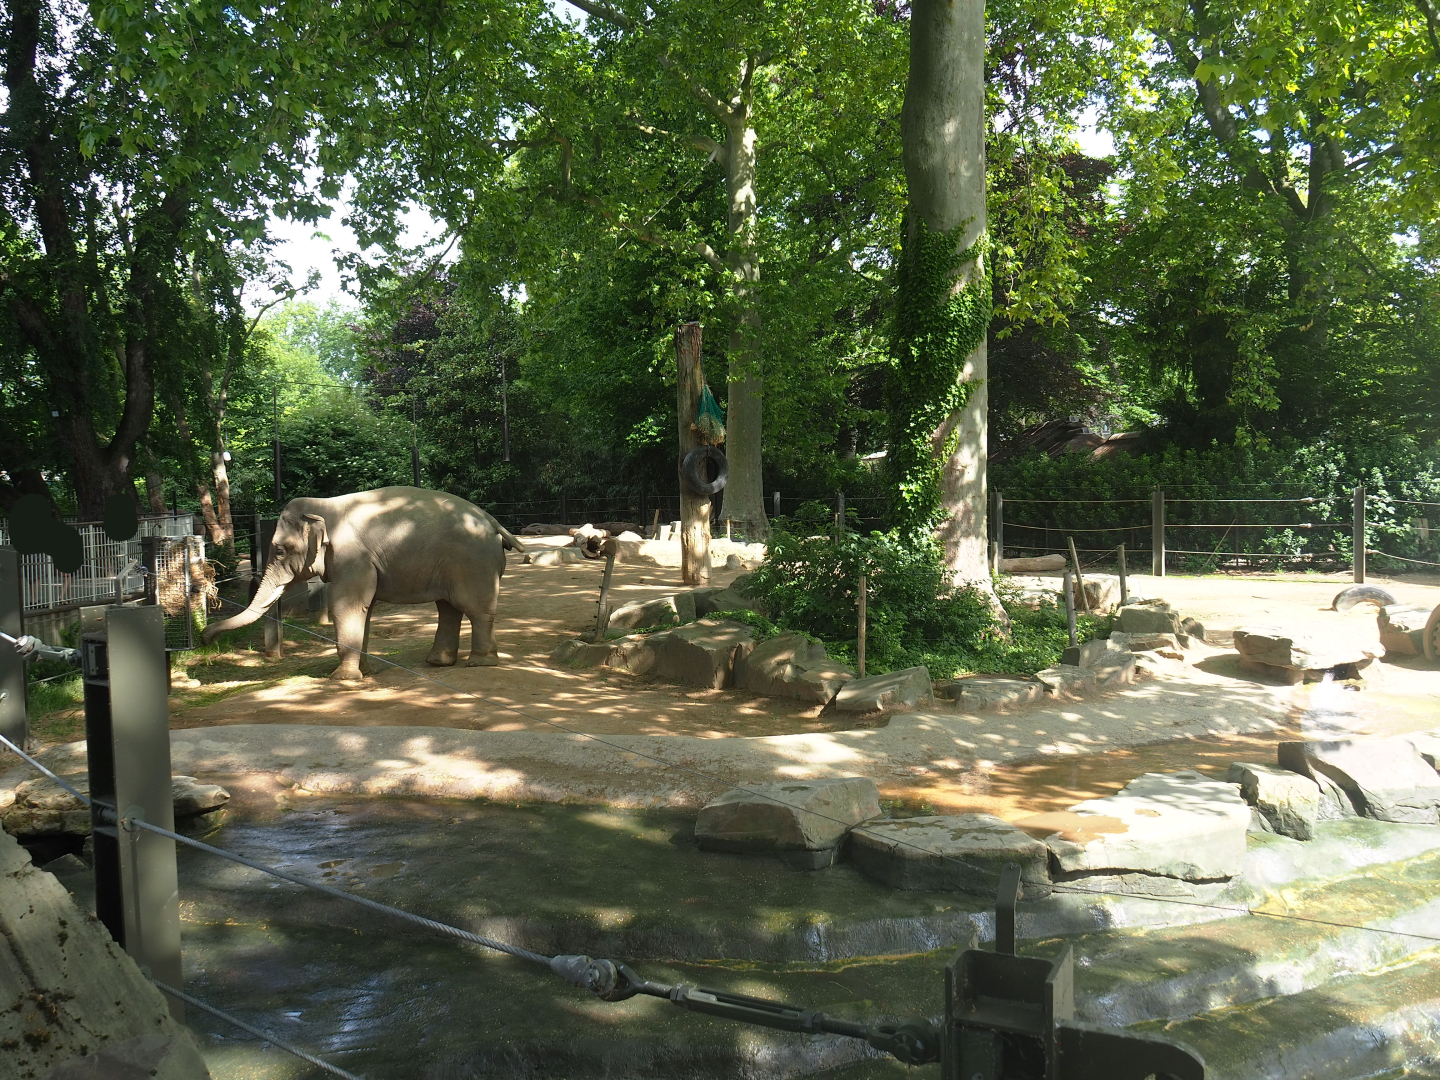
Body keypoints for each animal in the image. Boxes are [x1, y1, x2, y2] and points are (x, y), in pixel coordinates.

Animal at [203, 487, 524, 680]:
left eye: (280, 550)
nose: (207, 638)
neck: (324, 507)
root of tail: (493, 522)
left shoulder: (352, 558)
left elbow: (346, 606)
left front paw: (342, 679)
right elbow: (363, 610)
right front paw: (365, 673)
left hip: (474, 563)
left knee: (475, 609)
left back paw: (480, 663)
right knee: (448, 608)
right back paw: (438, 663)